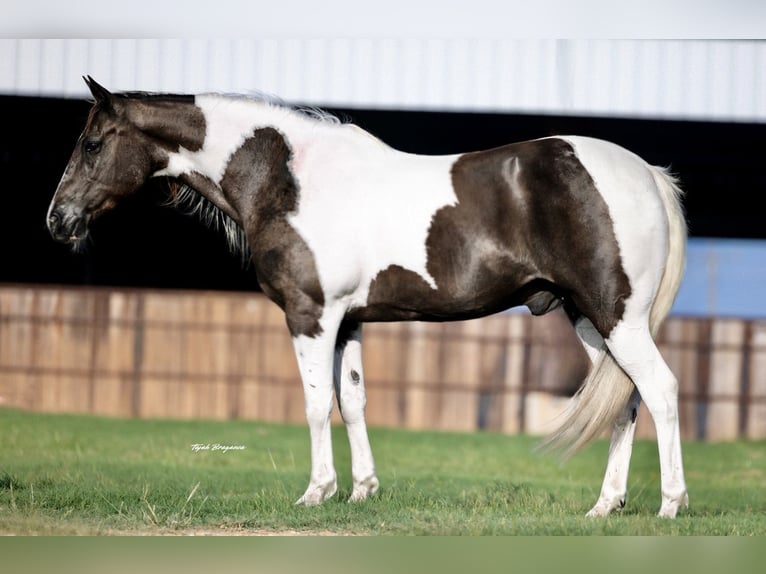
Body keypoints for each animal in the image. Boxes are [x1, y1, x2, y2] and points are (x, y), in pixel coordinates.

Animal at [47, 76, 689, 518]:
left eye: (92, 144)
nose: (58, 220)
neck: (288, 180)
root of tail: (645, 172)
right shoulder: (349, 322)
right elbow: (352, 402)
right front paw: (361, 491)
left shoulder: (310, 315)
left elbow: (314, 405)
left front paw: (316, 492)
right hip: (589, 320)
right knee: (625, 400)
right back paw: (605, 505)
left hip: (617, 318)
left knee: (659, 390)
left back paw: (671, 503)